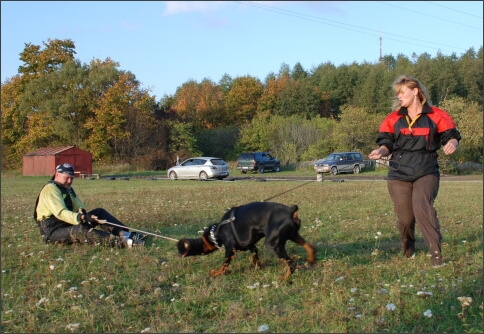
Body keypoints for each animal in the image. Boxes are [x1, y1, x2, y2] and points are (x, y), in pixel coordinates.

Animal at [176, 202, 316, 278]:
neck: (218, 230)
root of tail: (290, 210)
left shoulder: (230, 249)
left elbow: (224, 265)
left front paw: (217, 273)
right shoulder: (251, 246)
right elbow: (255, 258)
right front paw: (259, 268)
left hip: (273, 244)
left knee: (291, 263)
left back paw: (283, 279)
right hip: (293, 235)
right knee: (309, 246)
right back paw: (311, 260)